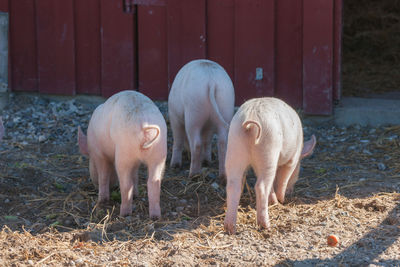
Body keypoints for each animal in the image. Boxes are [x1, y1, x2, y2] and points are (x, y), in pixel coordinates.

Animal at [78, 91, 167, 219]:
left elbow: (103, 175)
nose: (94, 185)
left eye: (90, 163)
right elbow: (135, 175)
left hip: (124, 151)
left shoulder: (99, 154)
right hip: (159, 152)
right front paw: (136, 195)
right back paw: (155, 216)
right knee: (154, 182)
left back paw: (124, 213)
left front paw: (102, 200)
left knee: (126, 184)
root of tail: (144, 125)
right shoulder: (136, 161)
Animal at [225, 97, 316, 233]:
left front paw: (275, 201)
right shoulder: (292, 159)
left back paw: (230, 228)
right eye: (298, 172)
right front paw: (282, 200)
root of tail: (251, 118)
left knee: (233, 185)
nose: (291, 192)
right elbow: (284, 178)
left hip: (235, 146)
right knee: (261, 186)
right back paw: (266, 225)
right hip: (269, 148)